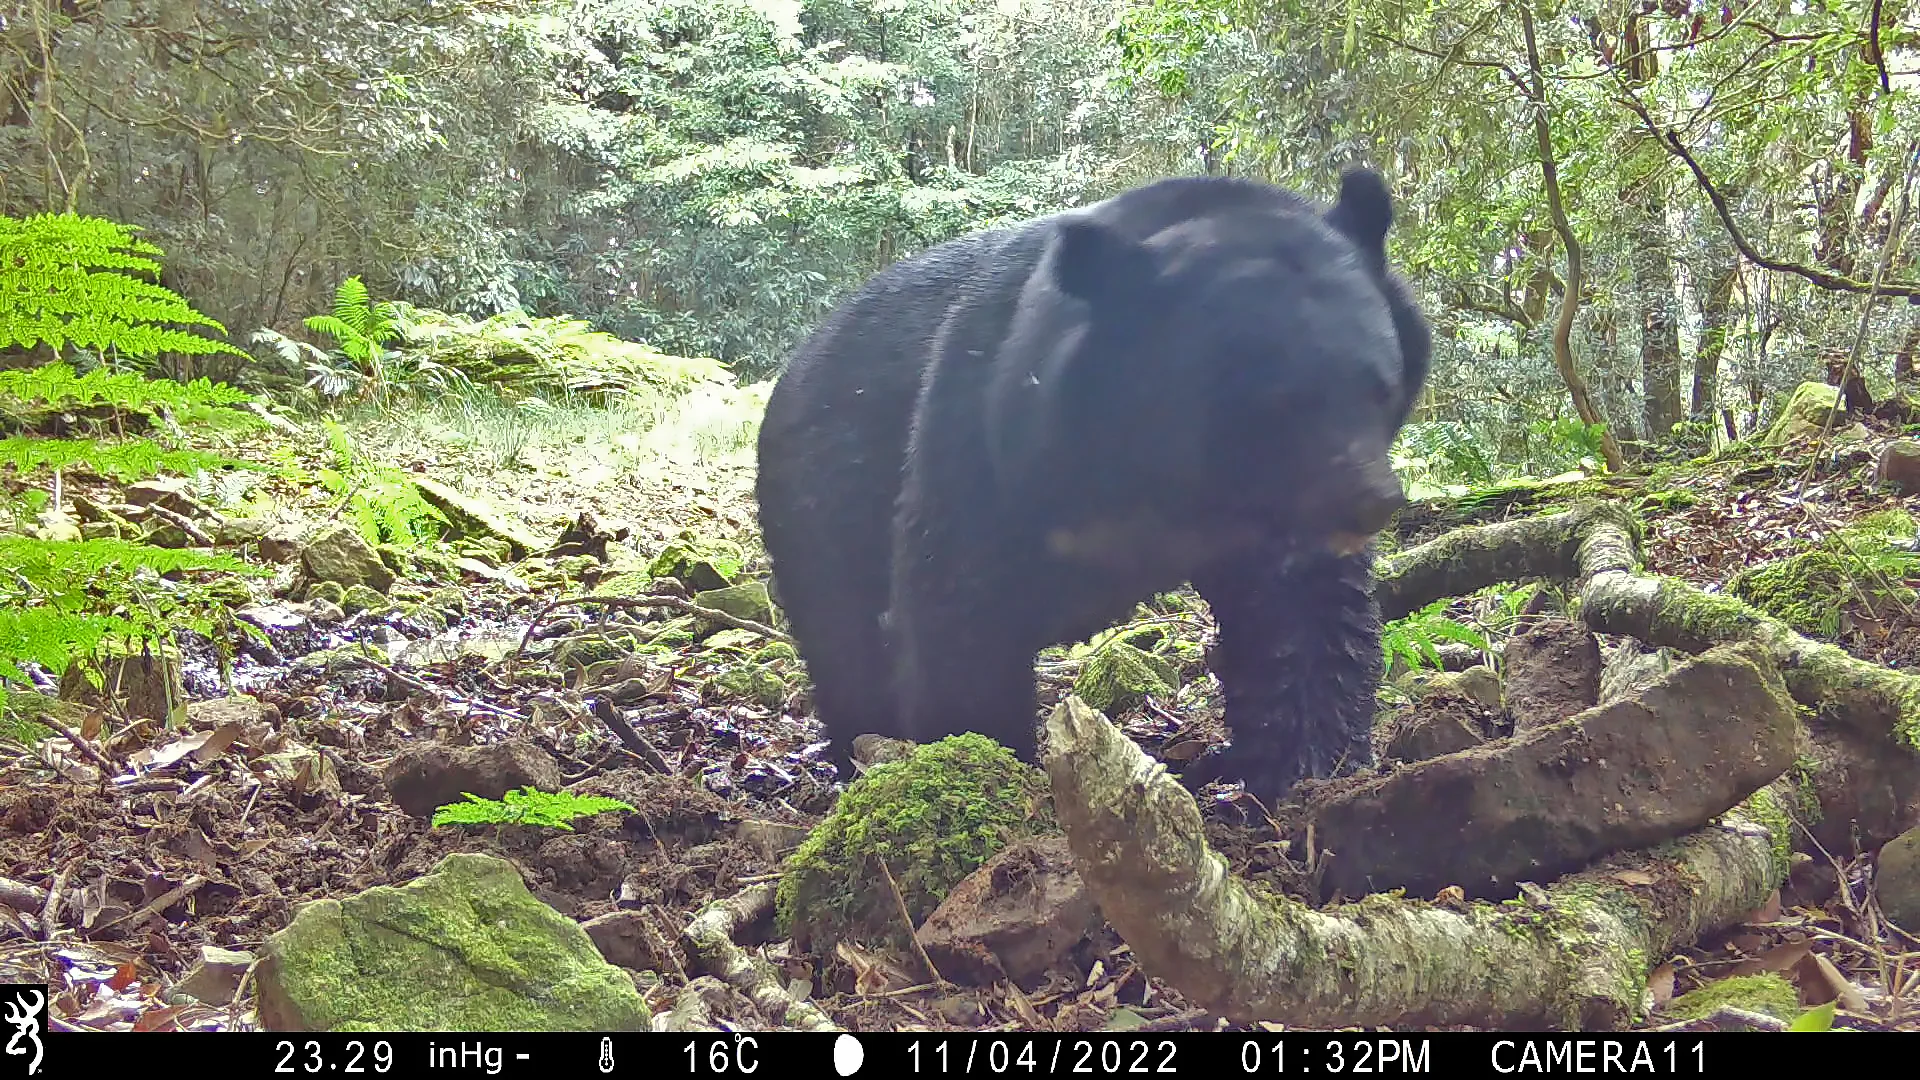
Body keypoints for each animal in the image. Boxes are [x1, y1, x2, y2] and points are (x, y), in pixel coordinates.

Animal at [754, 169, 1431, 806]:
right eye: (1271, 407)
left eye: (1379, 386)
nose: (1368, 502)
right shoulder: (989, 441)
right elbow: (961, 608)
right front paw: (983, 764)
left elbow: (1309, 616)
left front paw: (1310, 771)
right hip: (821, 505)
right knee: (849, 642)